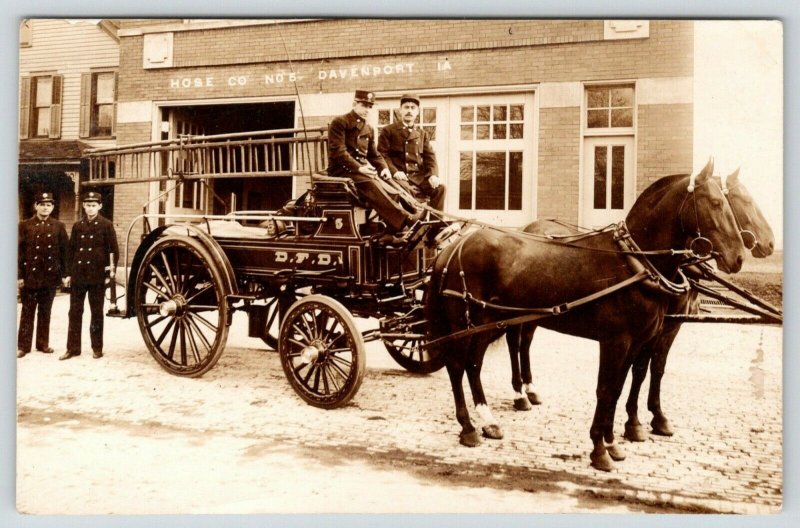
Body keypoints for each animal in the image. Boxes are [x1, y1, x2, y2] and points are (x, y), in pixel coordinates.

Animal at [428, 163, 748, 472]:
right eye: (716, 203)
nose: (740, 257)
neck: (635, 262)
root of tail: (454, 246)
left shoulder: (636, 342)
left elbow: (618, 388)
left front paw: (612, 442)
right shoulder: (616, 341)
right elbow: (605, 390)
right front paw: (599, 449)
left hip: (488, 322)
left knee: (473, 364)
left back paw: (488, 420)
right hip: (467, 322)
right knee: (457, 366)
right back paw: (468, 427)